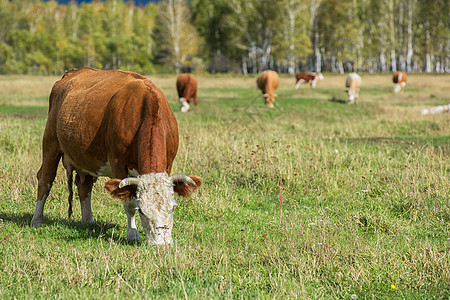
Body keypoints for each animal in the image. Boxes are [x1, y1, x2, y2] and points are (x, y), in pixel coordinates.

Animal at [33, 68, 204, 246]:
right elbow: (129, 204)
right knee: (45, 179)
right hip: (51, 142)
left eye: (172, 208)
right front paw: (132, 233)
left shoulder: (168, 163)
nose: (161, 244)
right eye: (142, 211)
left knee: (84, 186)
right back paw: (37, 220)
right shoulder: (118, 164)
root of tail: (72, 73)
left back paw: (88, 220)